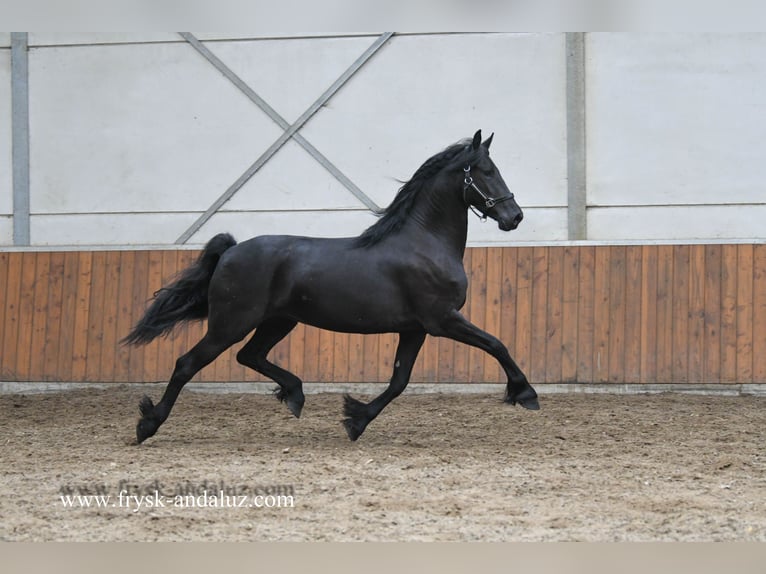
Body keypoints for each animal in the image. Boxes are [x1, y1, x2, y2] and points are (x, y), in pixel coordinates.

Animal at [123, 130, 539, 444]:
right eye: (485, 171)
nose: (514, 216)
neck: (425, 242)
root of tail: (231, 250)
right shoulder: (442, 320)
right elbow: (496, 344)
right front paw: (525, 394)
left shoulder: (415, 328)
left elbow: (399, 381)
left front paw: (355, 419)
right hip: (231, 323)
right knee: (187, 364)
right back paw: (148, 425)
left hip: (278, 321)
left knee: (249, 356)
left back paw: (294, 395)